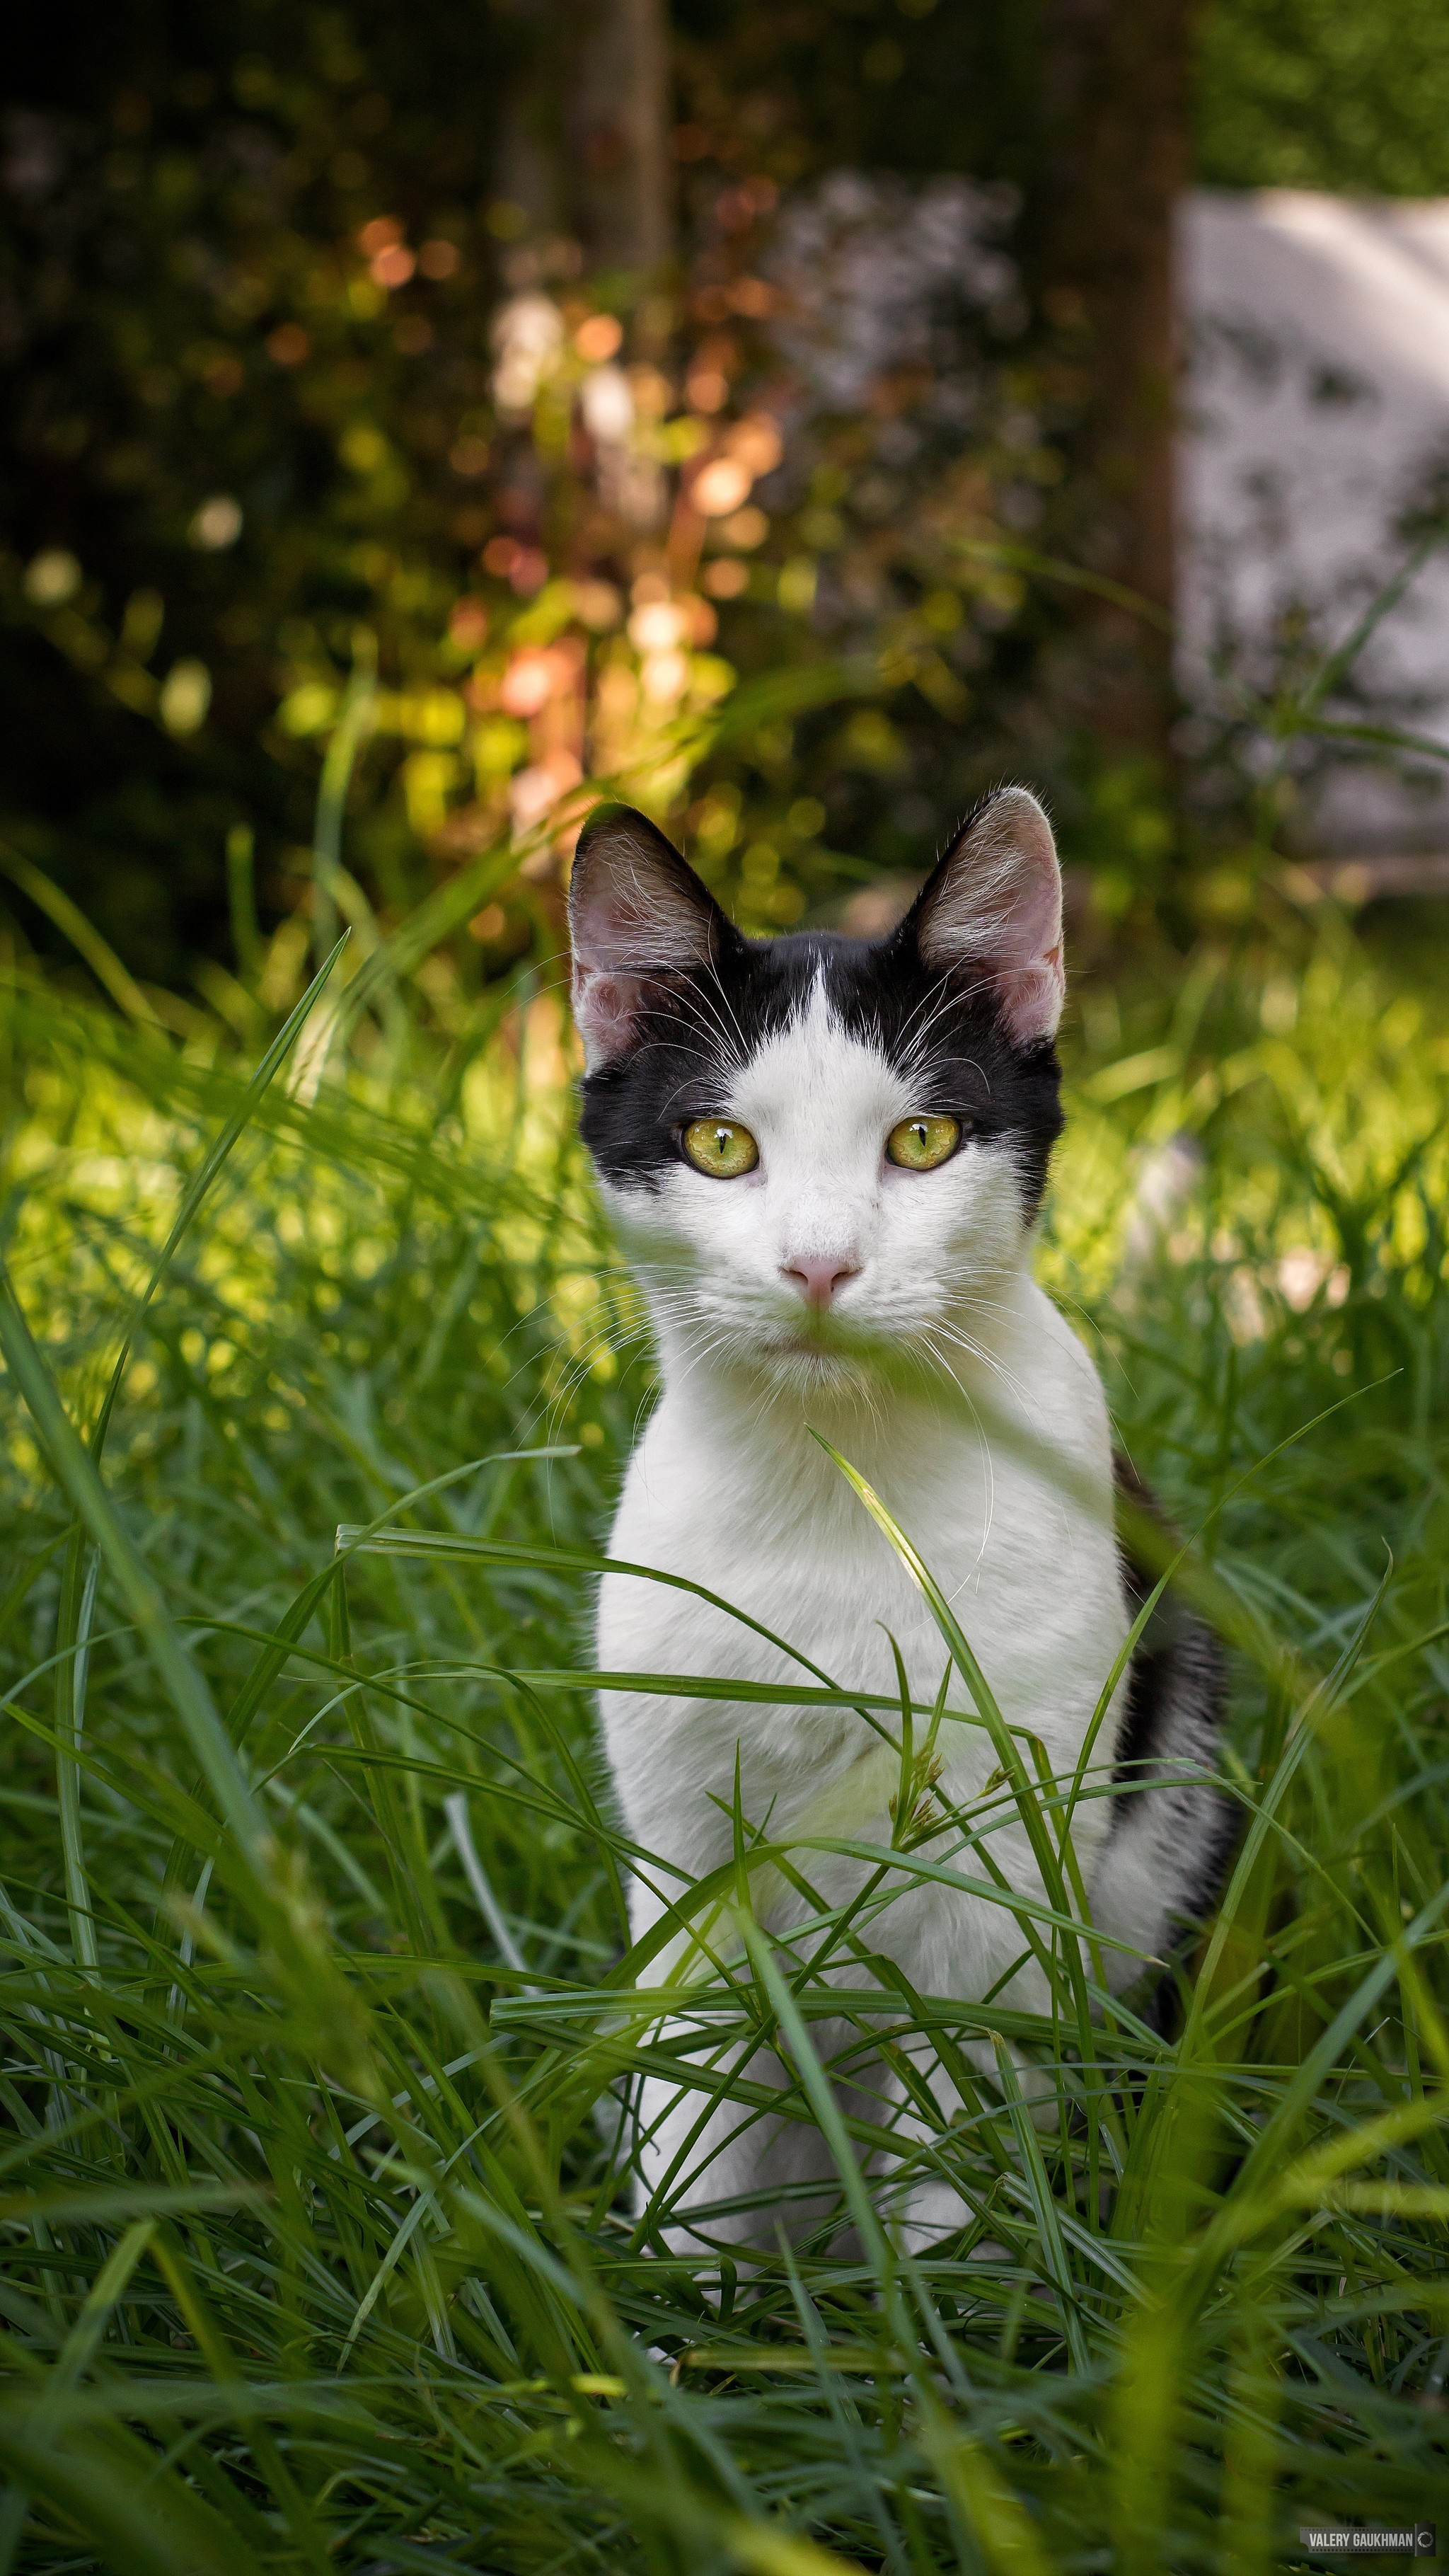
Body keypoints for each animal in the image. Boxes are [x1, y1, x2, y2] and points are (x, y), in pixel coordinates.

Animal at [566, 783, 1235, 2256]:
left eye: (920, 1141)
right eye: (719, 1146)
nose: (818, 1264)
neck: (839, 1482)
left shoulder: (1005, 1853)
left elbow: (960, 2130)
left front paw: (945, 2311)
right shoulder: (683, 1852)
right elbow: (694, 2127)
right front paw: (679, 2313)